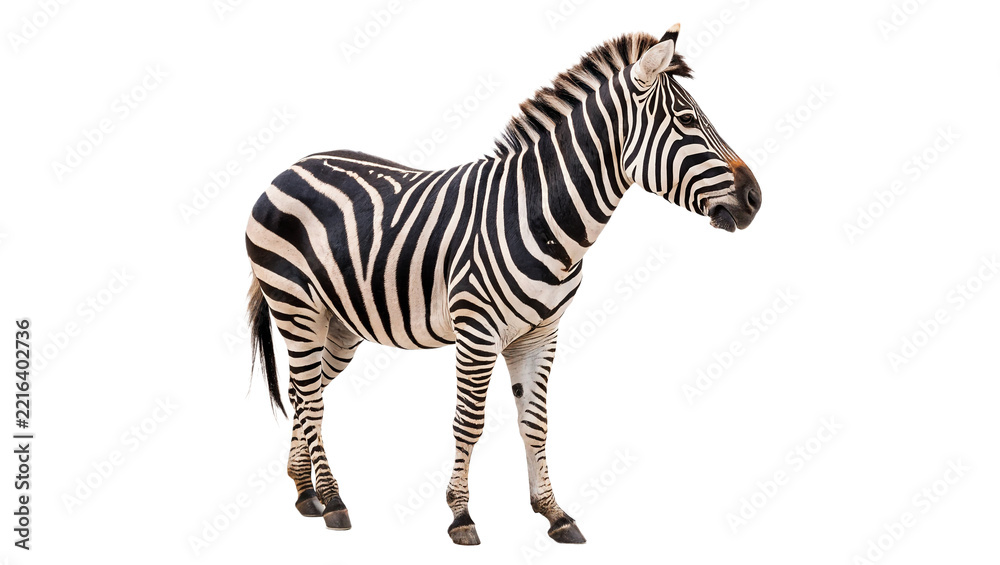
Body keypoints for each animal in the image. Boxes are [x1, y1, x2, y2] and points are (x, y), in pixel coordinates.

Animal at [245, 24, 761, 545]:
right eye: (687, 120)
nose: (756, 198)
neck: (541, 215)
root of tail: (290, 166)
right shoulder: (476, 330)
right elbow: (469, 422)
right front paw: (461, 516)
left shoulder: (540, 334)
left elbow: (535, 423)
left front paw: (554, 513)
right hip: (296, 307)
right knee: (310, 398)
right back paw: (333, 501)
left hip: (338, 323)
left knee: (302, 392)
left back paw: (305, 492)